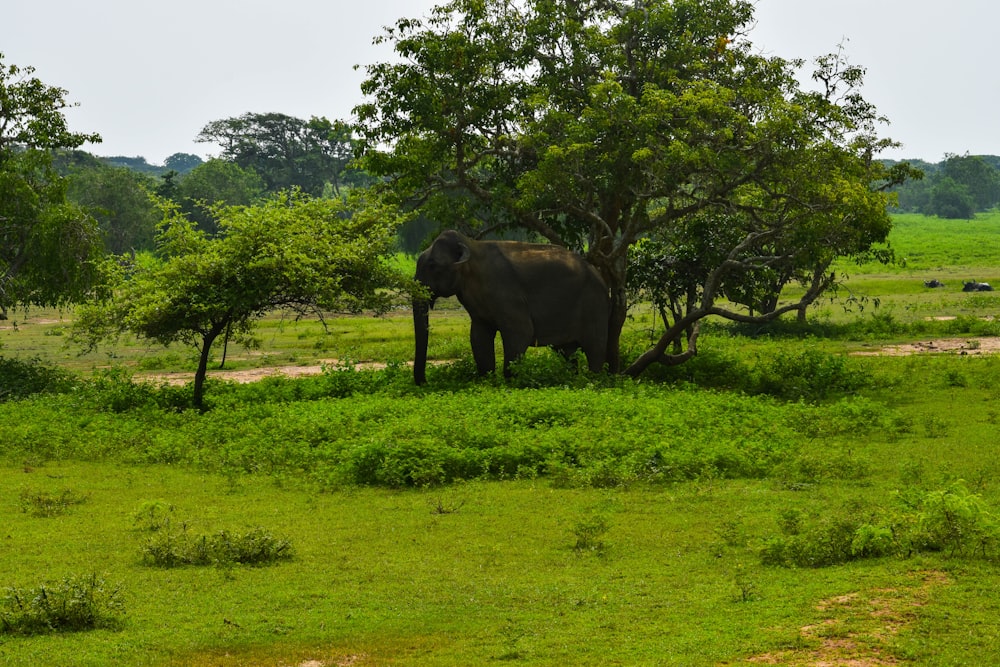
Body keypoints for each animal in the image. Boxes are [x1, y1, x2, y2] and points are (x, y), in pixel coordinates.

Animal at [412, 231, 608, 384]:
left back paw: (594, 380)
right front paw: (487, 381)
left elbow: (521, 332)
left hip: (594, 305)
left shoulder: (507, 293)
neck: (471, 245)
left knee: (595, 350)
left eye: (433, 266)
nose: (424, 381)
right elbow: (478, 337)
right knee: (567, 352)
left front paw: (510, 382)